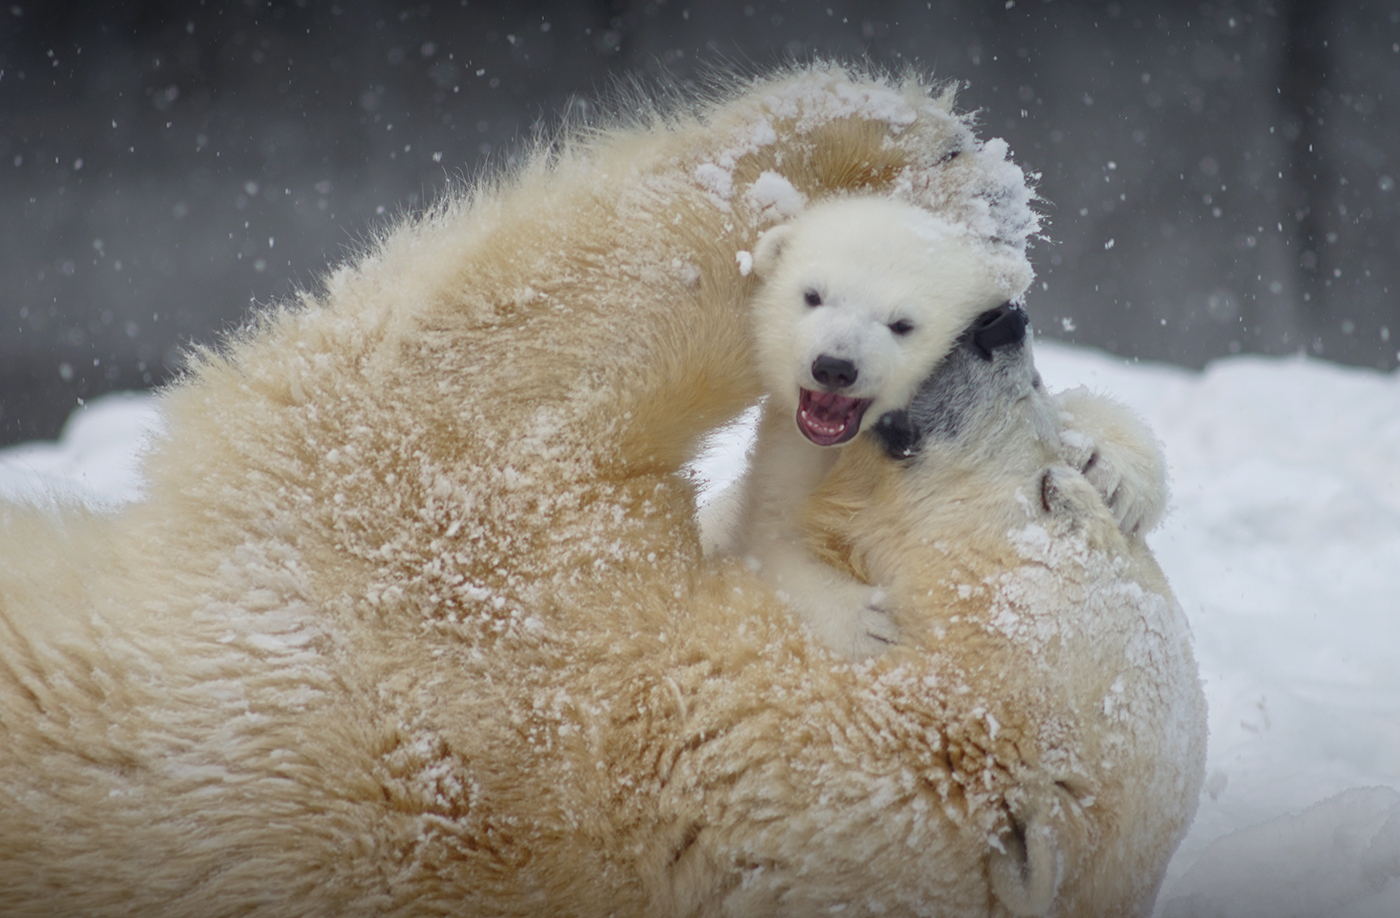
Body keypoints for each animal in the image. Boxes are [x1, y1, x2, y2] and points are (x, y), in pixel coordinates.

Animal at [700, 197, 1170, 654]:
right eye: (812, 295)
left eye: (902, 324)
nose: (835, 366)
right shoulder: (786, 463)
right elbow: (776, 543)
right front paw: (866, 625)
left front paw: (1110, 473)